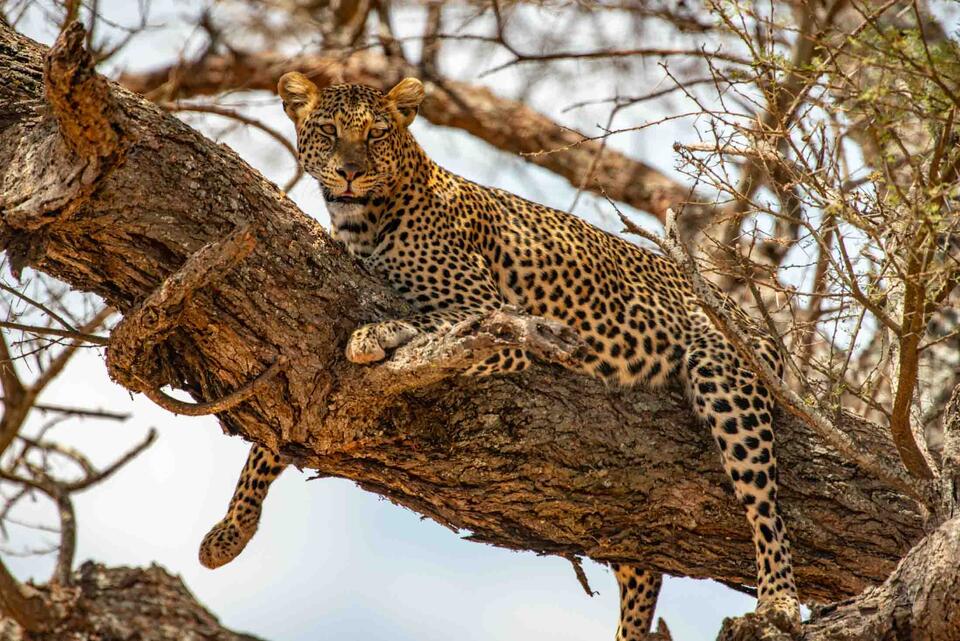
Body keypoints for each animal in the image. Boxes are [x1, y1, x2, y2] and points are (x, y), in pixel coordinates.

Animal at [199, 73, 801, 638]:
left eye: (376, 134)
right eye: (328, 131)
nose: (348, 171)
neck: (360, 219)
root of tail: (747, 316)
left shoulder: (494, 314)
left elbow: (436, 328)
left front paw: (376, 333)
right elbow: (273, 436)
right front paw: (230, 530)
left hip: (726, 381)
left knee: (766, 508)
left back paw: (779, 600)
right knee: (644, 567)